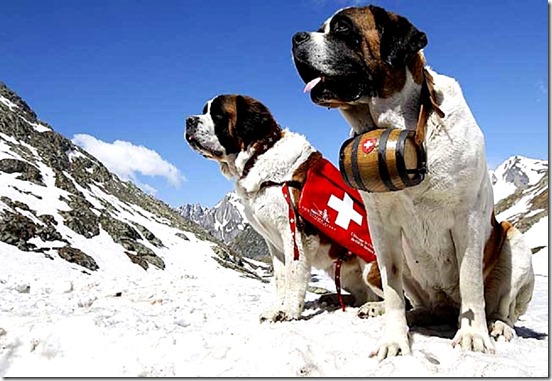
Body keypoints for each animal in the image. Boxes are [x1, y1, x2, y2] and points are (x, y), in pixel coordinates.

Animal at [185, 94, 384, 320]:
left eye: (217, 114)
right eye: (205, 111)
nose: (188, 121)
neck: (259, 155)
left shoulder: (294, 234)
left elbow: (294, 273)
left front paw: (288, 311)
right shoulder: (274, 243)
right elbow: (281, 277)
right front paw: (277, 308)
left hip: (372, 268)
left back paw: (374, 307)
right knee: (362, 295)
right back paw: (336, 298)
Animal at [292, 4, 536, 358]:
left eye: (342, 28)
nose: (296, 38)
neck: (404, 129)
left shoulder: (468, 219)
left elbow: (471, 282)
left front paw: (473, 335)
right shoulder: (382, 229)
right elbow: (393, 289)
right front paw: (394, 340)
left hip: (515, 244)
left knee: (503, 308)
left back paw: (496, 327)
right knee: (417, 302)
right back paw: (403, 313)